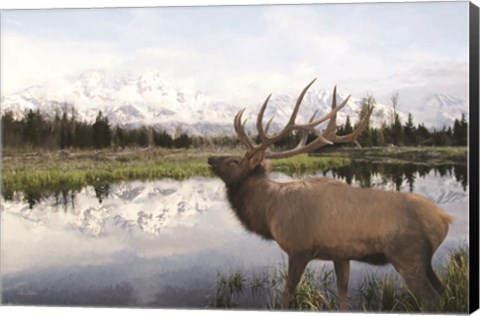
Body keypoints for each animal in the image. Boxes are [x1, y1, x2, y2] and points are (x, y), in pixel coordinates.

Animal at [208, 79, 452, 312]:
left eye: (235, 161)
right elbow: (342, 294)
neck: (269, 211)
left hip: (408, 255)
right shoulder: (340, 254)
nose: (210, 158)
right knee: (442, 288)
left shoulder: (299, 249)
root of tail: (445, 219)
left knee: (430, 297)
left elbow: (287, 292)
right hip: (425, 260)